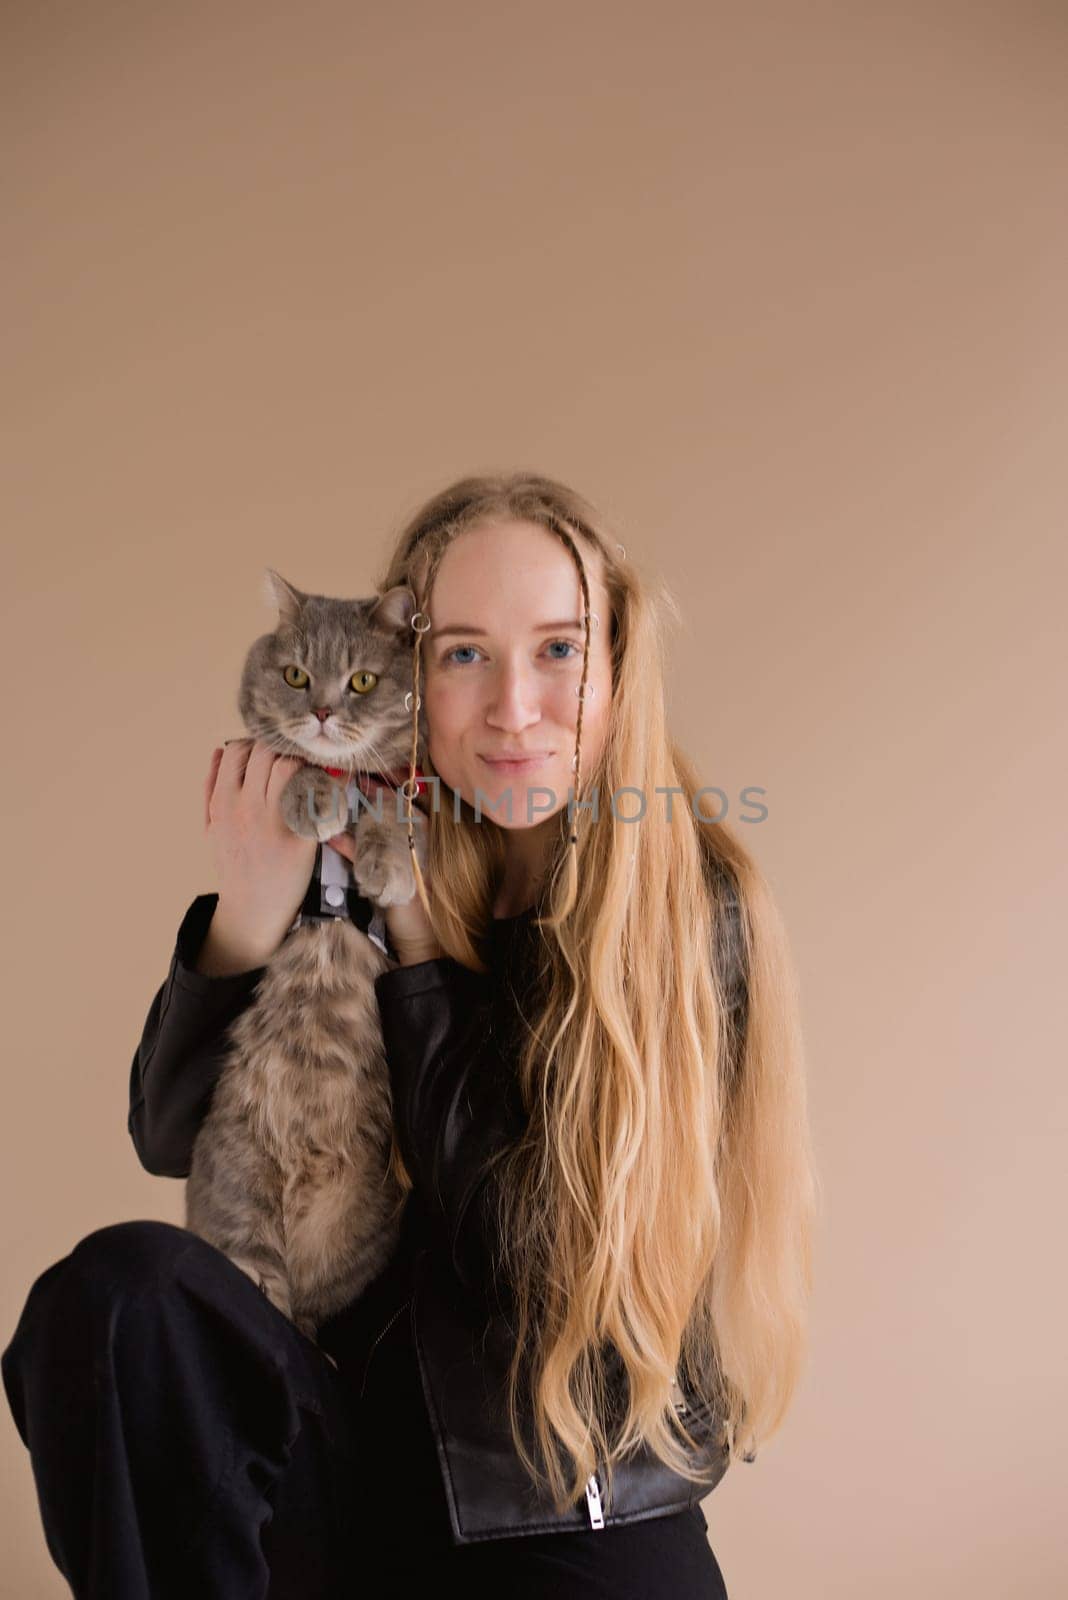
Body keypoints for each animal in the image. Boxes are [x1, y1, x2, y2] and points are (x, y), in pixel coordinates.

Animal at [183, 569, 428, 1356]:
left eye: (361, 680)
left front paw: (386, 864)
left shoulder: (413, 790)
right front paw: (313, 793)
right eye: (296, 675)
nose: (321, 711)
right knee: (259, 1278)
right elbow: (294, 761)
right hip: (241, 1188)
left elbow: (396, 808)